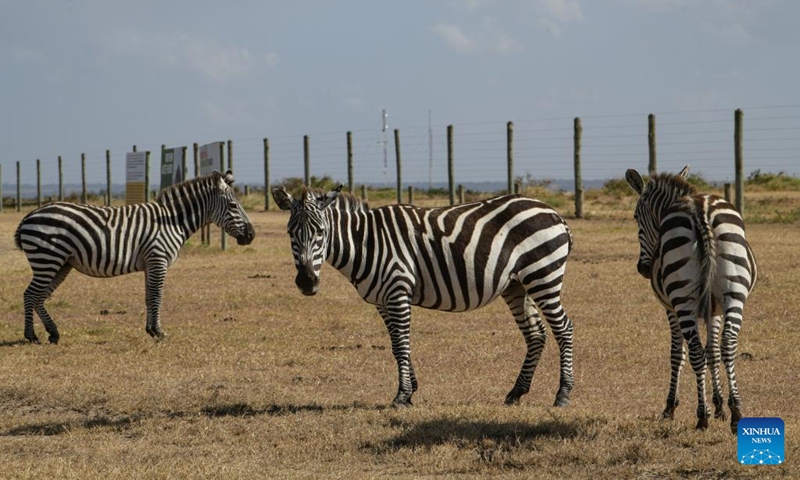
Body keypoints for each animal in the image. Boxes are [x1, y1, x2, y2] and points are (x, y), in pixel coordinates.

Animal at [14, 171, 253, 344]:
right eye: (233, 205)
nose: (251, 235)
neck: (173, 220)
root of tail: (30, 215)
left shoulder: (150, 263)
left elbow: (149, 297)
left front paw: (150, 330)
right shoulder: (158, 260)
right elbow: (157, 296)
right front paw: (159, 332)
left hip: (61, 264)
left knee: (39, 296)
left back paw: (53, 333)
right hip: (47, 259)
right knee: (30, 294)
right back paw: (31, 336)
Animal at [276, 187, 576, 408]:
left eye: (321, 233)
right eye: (290, 233)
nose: (306, 282)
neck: (366, 242)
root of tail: (554, 213)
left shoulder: (397, 290)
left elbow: (401, 345)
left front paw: (401, 396)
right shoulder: (382, 300)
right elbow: (396, 344)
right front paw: (411, 390)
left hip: (543, 275)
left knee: (564, 328)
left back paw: (563, 394)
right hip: (516, 285)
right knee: (536, 334)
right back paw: (516, 393)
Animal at [624, 167, 756, 434]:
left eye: (635, 216)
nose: (643, 269)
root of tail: (700, 209)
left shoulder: (670, 308)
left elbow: (678, 353)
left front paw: (670, 408)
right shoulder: (715, 308)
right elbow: (713, 351)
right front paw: (719, 406)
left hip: (682, 300)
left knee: (694, 351)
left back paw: (702, 417)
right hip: (734, 293)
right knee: (728, 344)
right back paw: (736, 412)